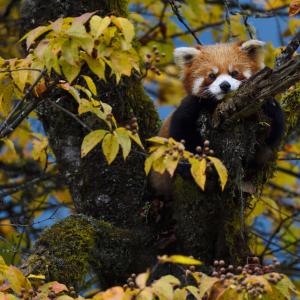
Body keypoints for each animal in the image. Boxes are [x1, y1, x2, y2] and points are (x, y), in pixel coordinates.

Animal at [151, 39, 284, 198]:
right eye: (212, 76)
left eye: (234, 73)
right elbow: (180, 133)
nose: (225, 85)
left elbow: (272, 135)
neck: (218, 104)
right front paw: (187, 164)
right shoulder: (190, 107)